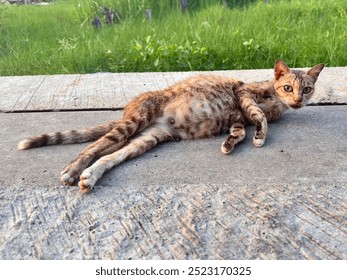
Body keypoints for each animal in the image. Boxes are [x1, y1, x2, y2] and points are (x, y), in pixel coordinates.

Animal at [18, 60, 324, 192]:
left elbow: (238, 131)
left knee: (110, 155)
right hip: (135, 122)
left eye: (307, 89)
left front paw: (229, 144)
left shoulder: (237, 118)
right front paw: (260, 134)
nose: (298, 100)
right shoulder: (243, 93)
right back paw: (73, 170)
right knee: (94, 147)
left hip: (147, 138)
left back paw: (90, 177)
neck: (276, 102)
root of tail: (130, 108)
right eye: (288, 87)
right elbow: (257, 114)